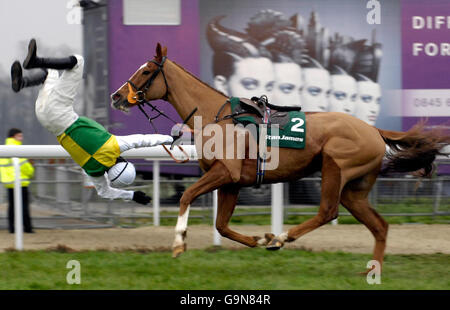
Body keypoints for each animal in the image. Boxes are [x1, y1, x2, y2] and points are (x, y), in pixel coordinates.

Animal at [110, 43, 448, 272]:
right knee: (379, 226)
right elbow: (221, 226)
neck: (216, 116)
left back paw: (282, 238)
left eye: (147, 71)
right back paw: (369, 271)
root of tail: (374, 130)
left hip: (335, 167)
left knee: (328, 211)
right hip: (355, 189)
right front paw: (258, 240)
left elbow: (187, 196)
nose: (116, 96)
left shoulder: (225, 174)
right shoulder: (231, 183)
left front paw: (179, 243)